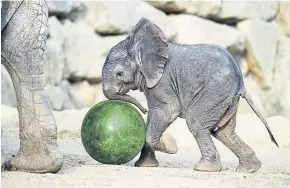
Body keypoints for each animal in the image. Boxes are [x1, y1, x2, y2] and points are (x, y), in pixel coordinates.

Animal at [102, 16, 278, 173]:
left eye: (119, 73)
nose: (142, 110)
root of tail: (241, 81)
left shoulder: (162, 82)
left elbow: (168, 111)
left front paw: (171, 144)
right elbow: (153, 116)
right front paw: (146, 166)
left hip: (214, 93)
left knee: (197, 123)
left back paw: (205, 169)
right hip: (228, 99)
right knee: (223, 132)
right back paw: (249, 168)